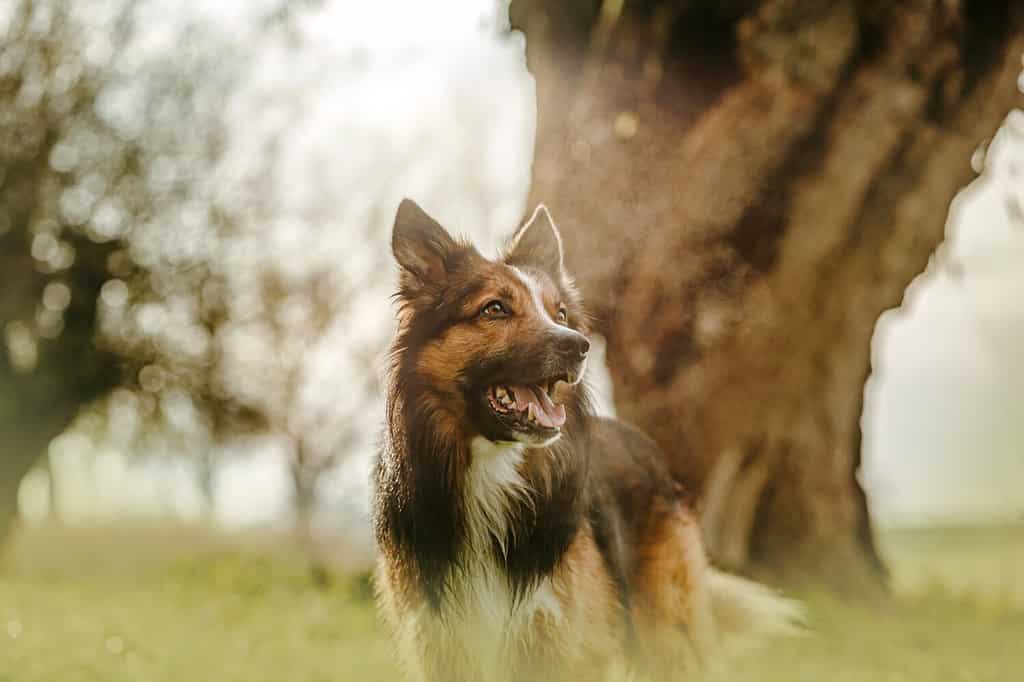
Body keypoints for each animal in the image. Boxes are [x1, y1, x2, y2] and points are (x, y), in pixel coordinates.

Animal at [372, 199, 802, 675]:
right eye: (494, 309)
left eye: (560, 314)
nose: (579, 345)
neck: (493, 471)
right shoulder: (440, 642)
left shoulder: (562, 644)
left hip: (671, 636)